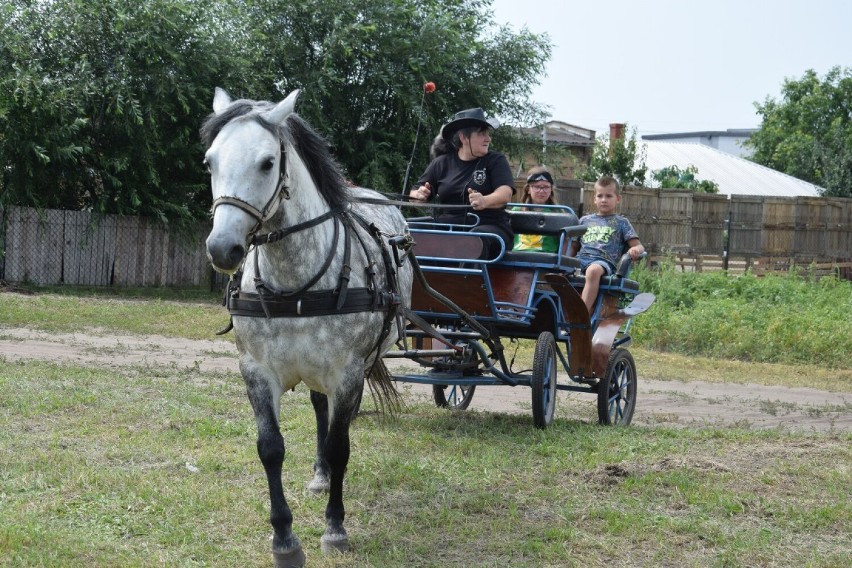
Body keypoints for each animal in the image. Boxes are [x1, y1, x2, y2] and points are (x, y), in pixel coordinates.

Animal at [201, 89, 412, 568]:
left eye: (266, 163)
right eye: (210, 161)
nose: (222, 248)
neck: (295, 284)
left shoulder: (348, 373)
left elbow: (340, 444)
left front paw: (335, 528)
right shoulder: (256, 371)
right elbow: (271, 448)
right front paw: (284, 538)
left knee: (337, 423)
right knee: (319, 409)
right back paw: (320, 475)